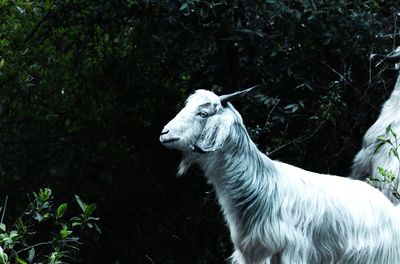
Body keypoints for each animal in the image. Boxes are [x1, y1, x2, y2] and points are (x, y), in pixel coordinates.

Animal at [161, 87, 400, 262]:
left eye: (202, 113)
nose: (164, 133)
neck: (262, 186)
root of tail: (390, 210)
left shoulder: (292, 252)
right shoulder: (252, 253)